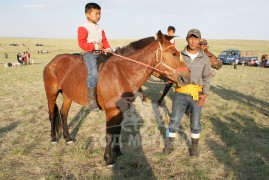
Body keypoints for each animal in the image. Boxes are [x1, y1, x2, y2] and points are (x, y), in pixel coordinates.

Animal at [43, 30, 189, 165]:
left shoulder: (120, 110)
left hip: (67, 95)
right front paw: (108, 159)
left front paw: (118, 152)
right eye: (174, 53)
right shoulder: (111, 111)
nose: (186, 77)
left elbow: (117, 130)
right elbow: (109, 132)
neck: (122, 73)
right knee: (52, 114)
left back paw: (67, 138)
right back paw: (53, 138)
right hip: (51, 94)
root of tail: (53, 61)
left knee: (63, 113)